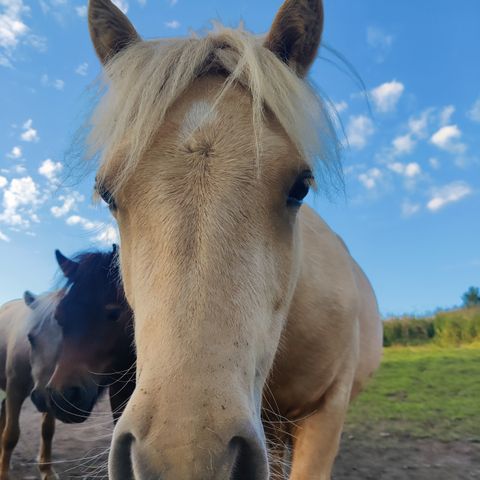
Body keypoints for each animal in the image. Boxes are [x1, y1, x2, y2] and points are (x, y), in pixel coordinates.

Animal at [0, 290, 62, 478]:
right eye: (30, 337)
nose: (42, 397)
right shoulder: (15, 389)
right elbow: (11, 435)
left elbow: (47, 431)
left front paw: (46, 471)